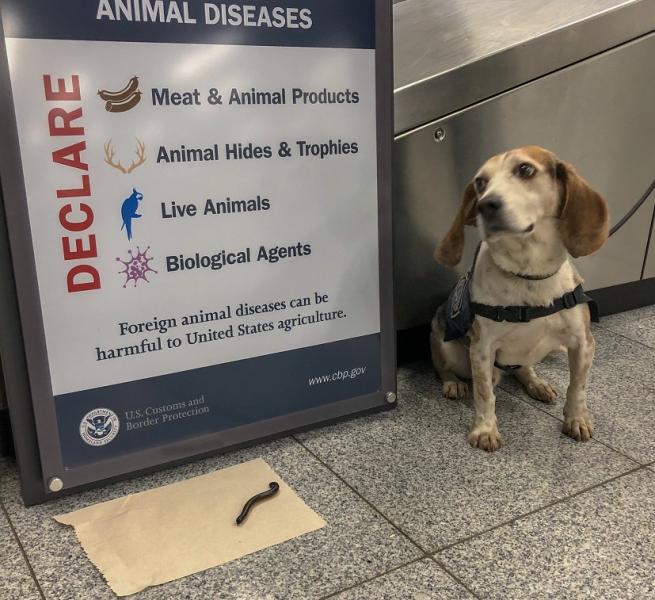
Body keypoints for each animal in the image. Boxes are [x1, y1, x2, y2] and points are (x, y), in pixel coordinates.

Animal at [430, 148, 608, 452]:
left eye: (525, 169)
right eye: (480, 182)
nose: (485, 205)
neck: (528, 274)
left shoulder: (583, 342)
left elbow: (578, 387)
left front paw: (577, 419)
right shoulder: (482, 348)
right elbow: (484, 394)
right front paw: (485, 430)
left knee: (524, 368)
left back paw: (537, 384)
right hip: (446, 345)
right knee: (447, 369)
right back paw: (453, 384)